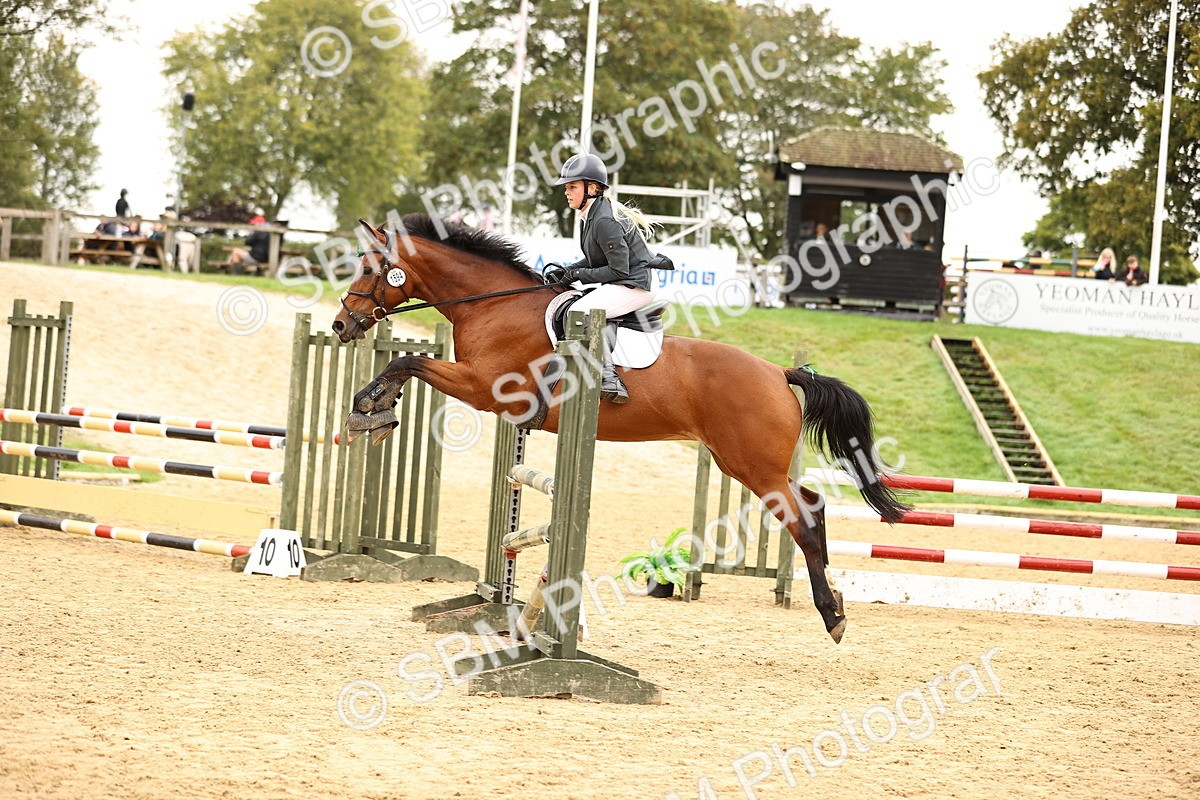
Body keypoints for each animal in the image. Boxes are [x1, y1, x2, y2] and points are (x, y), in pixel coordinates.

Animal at [332, 215, 909, 642]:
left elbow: (407, 362)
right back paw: (835, 599)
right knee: (813, 502)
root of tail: (778, 371)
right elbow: (405, 366)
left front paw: (367, 412)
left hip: (752, 466)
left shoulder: (482, 386)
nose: (341, 325)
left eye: (371, 267)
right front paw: (377, 411)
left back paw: (831, 615)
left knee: (803, 518)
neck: (494, 306)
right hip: (748, 463)